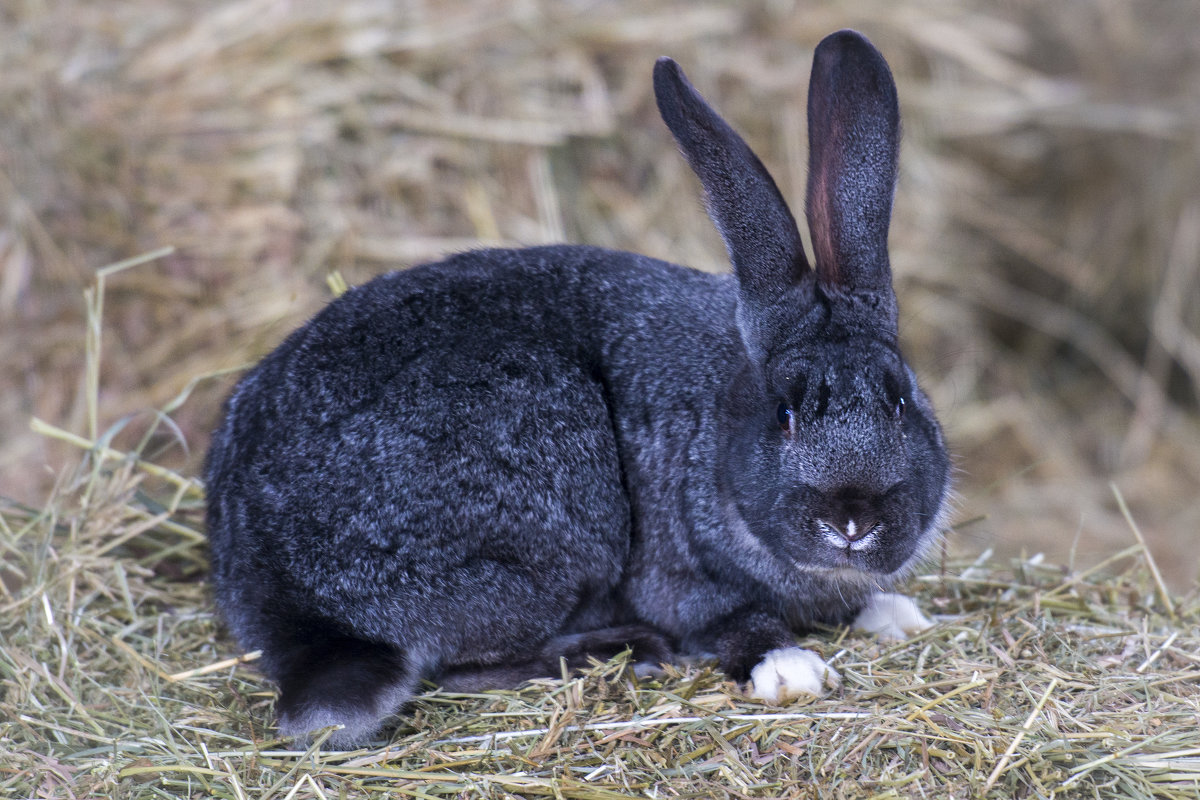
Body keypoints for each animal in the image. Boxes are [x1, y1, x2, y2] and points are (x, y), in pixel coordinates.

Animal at [208, 26, 955, 753]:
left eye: (901, 402)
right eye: (785, 414)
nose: (852, 522)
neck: (714, 432)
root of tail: (281, 594)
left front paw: (895, 613)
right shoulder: (678, 579)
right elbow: (731, 622)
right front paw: (790, 668)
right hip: (550, 521)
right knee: (464, 665)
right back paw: (624, 649)